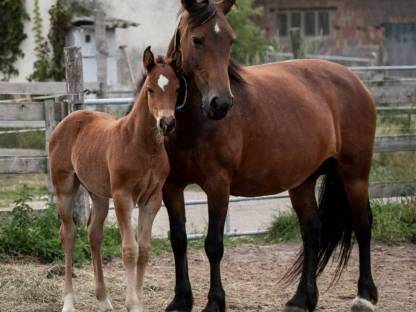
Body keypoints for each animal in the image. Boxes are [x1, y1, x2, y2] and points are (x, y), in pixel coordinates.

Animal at [49, 47, 182, 312]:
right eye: (150, 89)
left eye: (176, 89)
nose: (167, 123)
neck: (143, 146)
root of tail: (70, 117)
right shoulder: (123, 197)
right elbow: (130, 249)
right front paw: (133, 304)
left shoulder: (152, 199)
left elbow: (144, 249)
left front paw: (138, 300)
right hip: (64, 188)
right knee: (68, 234)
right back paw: (68, 301)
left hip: (99, 194)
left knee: (94, 233)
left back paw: (104, 299)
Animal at [160, 0, 380, 312]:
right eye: (197, 40)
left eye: (230, 40)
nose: (221, 103)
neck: (194, 124)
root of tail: (355, 80)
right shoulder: (171, 186)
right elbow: (178, 239)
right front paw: (180, 300)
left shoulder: (218, 186)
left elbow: (214, 244)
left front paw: (215, 302)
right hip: (303, 182)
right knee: (312, 231)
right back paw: (301, 299)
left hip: (355, 174)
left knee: (362, 224)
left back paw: (364, 296)